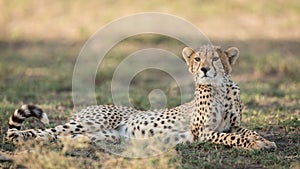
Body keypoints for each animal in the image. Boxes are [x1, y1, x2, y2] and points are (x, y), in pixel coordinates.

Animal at [5, 44, 276, 151]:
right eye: (198, 58)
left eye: (216, 59)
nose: (205, 69)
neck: (219, 88)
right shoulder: (204, 133)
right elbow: (231, 137)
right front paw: (256, 144)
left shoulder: (235, 124)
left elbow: (247, 132)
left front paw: (264, 141)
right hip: (88, 122)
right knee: (36, 132)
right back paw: (21, 137)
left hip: (106, 135)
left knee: (65, 138)